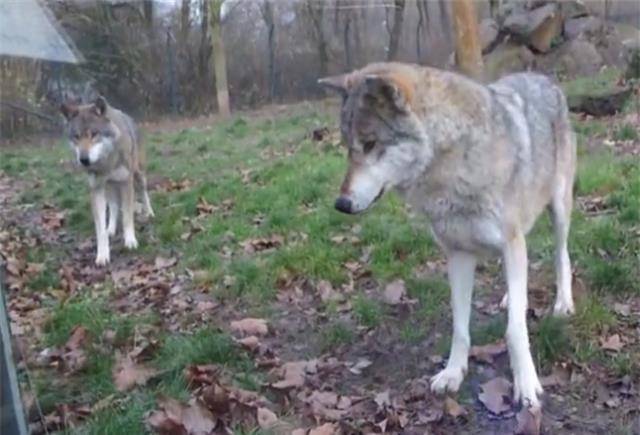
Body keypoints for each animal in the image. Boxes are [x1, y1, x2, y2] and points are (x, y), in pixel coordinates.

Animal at [60, 96, 155, 266]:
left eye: (94, 134)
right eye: (77, 136)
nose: (84, 160)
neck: (107, 162)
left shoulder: (126, 183)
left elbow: (127, 217)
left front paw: (130, 241)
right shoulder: (96, 188)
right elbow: (100, 229)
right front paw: (102, 254)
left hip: (138, 176)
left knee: (144, 193)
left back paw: (149, 213)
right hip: (109, 186)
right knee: (114, 206)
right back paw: (111, 228)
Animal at [322, 63, 576, 410]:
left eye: (371, 143)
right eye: (348, 147)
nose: (341, 204)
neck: (454, 161)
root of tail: (542, 76)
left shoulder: (510, 242)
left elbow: (514, 331)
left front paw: (526, 385)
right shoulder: (458, 255)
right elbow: (460, 327)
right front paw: (453, 373)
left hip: (559, 211)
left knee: (562, 256)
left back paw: (563, 303)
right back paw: (509, 298)